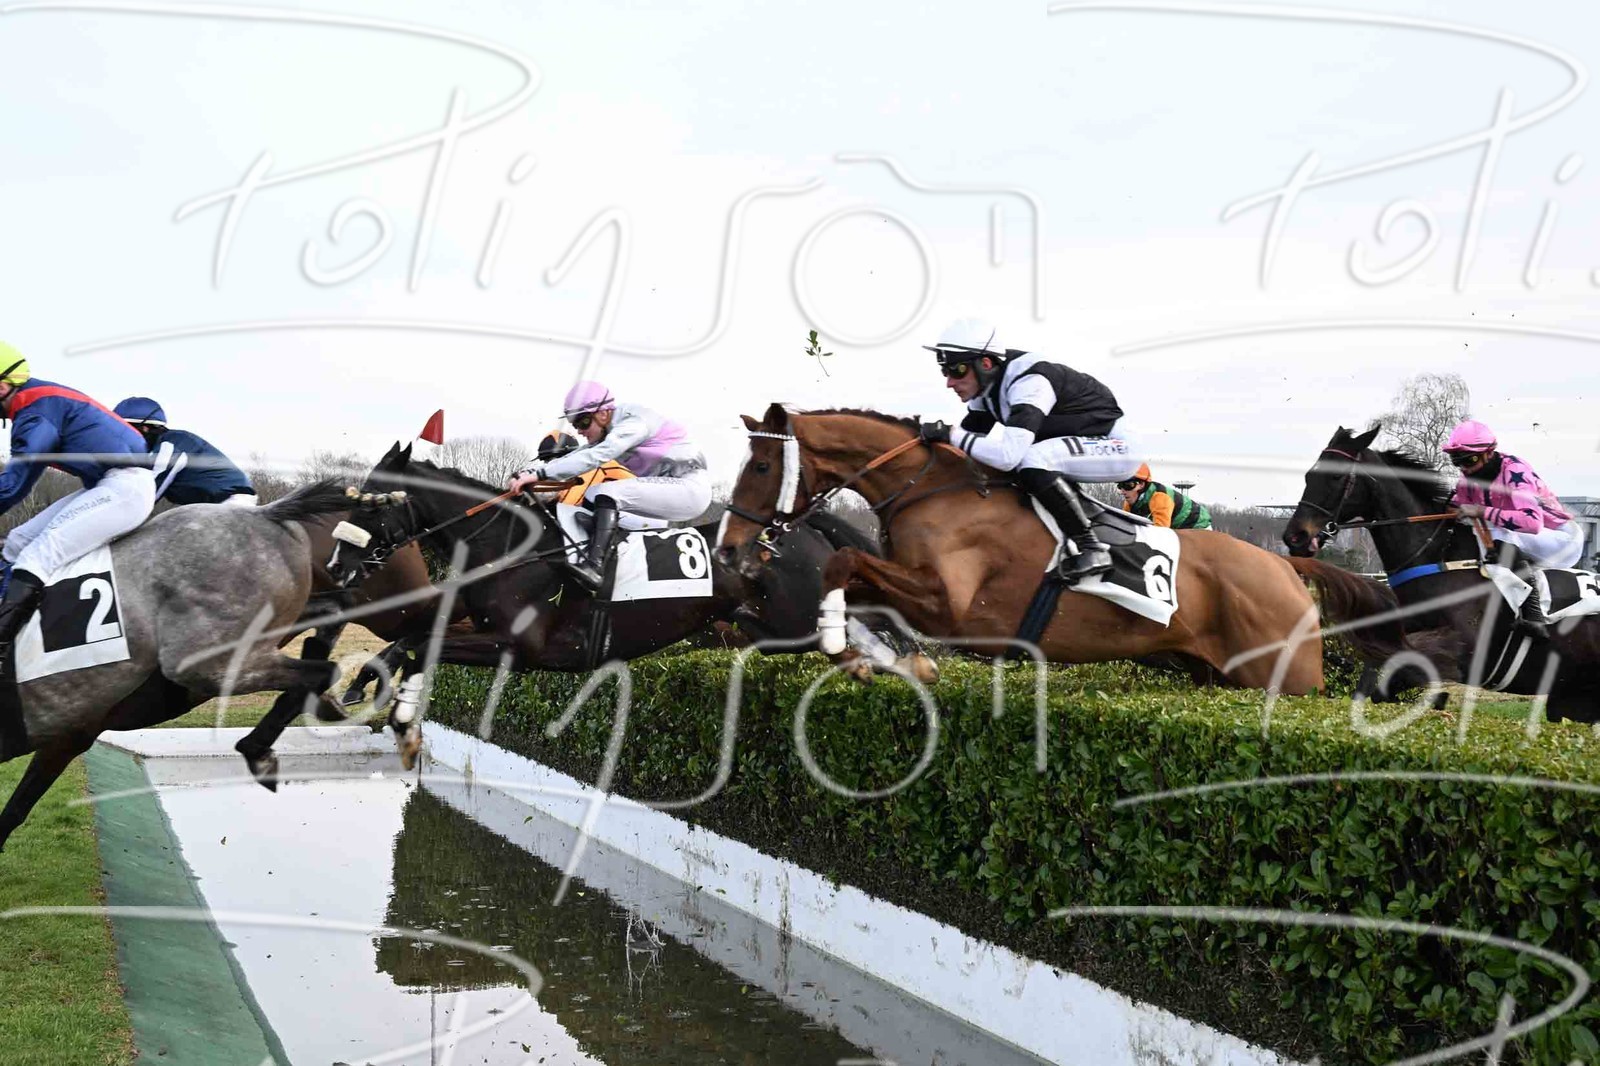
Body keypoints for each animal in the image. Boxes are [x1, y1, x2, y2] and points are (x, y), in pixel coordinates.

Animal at [0, 481, 366, 848]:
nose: (347, 568)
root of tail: (264, 513)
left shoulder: (69, 735)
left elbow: (12, 811)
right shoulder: (67, 736)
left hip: (205, 663)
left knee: (321, 667)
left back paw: (258, 747)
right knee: (334, 615)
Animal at [323, 444, 912, 760]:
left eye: (371, 503)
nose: (335, 567)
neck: (513, 548)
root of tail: (799, 524)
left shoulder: (520, 647)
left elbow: (420, 639)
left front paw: (385, 702)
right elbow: (413, 640)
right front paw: (369, 691)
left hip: (799, 617)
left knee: (871, 636)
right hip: (770, 629)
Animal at [716, 405, 1324, 694]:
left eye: (762, 466)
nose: (728, 550)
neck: (936, 491)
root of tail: (1286, 570)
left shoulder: (951, 606)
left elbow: (843, 561)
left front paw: (871, 657)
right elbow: (846, 585)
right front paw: (872, 657)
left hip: (1286, 678)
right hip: (1213, 672)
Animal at [1282, 425, 1600, 722]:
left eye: (1335, 477)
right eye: (1309, 475)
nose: (1294, 537)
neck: (1440, 561)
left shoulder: (1467, 655)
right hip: (1574, 700)